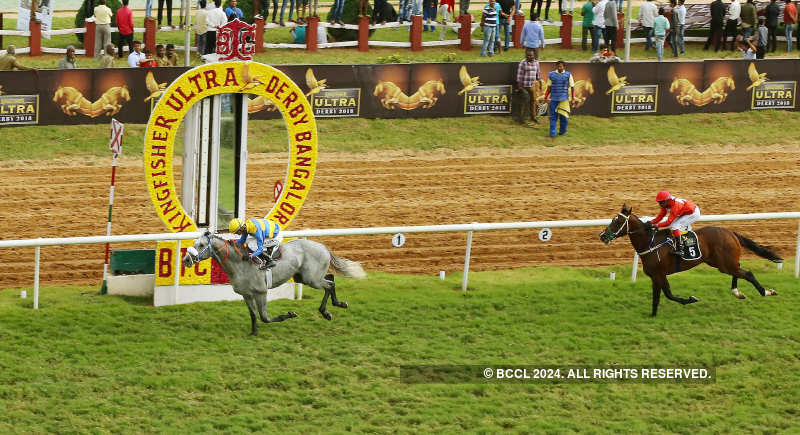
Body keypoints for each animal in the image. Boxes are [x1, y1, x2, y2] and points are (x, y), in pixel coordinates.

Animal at [183, 233, 368, 336]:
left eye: (201, 245)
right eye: (194, 243)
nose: (186, 260)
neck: (240, 264)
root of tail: (323, 246)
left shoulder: (261, 292)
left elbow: (264, 317)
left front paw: (290, 314)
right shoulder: (246, 294)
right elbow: (253, 315)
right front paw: (253, 332)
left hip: (312, 279)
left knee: (329, 285)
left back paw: (328, 310)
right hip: (304, 277)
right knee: (330, 277)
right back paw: (335, 305)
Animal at [600, 204, 780, 316]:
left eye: (618, 221)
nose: (602, 236)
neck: (650, 243)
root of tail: (731, 232)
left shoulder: (660, 274)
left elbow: (669, 295)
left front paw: (691, 299)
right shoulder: (655, 276)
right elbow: (658, 296)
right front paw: (652, 315)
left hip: (724, 263)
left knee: (748, 273)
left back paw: (766, 292)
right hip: (721, 262)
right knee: (739, 270)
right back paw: (737, 292)